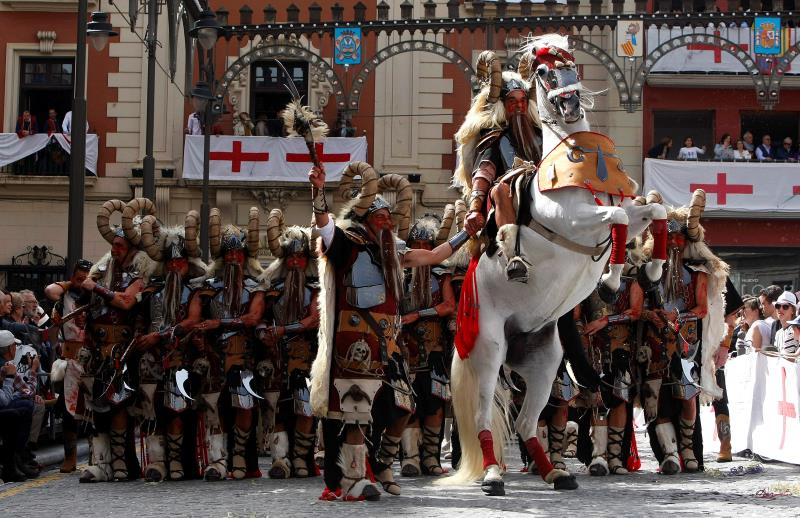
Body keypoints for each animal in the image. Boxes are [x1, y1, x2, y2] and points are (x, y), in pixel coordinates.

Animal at [444, 34, 668, 498]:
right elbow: (616, 219)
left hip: (544, 360)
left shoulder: (622, 208)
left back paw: (554, 472)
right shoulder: (572, 219)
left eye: (571, 67)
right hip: (488, 349)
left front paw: (653, 270)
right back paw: (493, 475)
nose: (570, 105)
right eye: (545, 73)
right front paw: (611, 280)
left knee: (527, 421)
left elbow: (652, 211)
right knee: (482, 419)